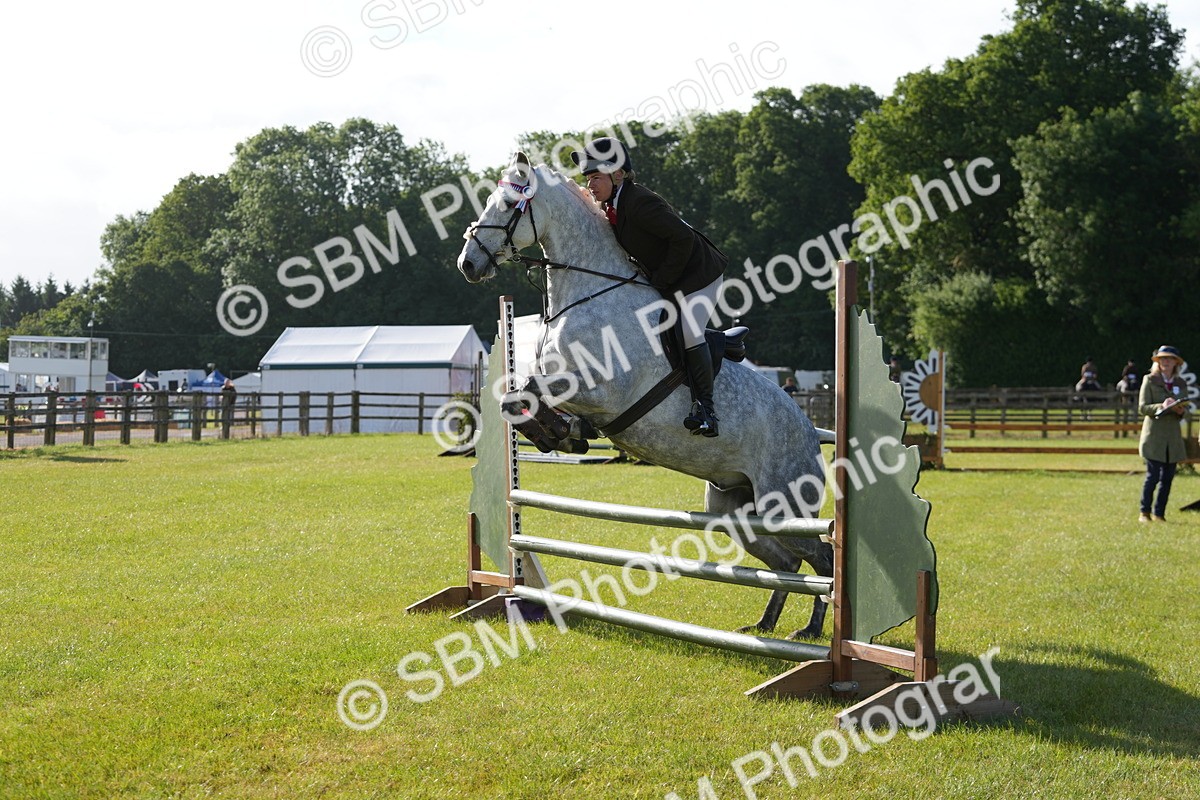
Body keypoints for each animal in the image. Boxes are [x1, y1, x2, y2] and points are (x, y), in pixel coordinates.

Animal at [456, 153, 832, 639]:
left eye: (505, 204)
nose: (467, 264)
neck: (589, 291)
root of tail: (812, 431)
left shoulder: (599, 390)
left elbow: (530, 394)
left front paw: (562, 432)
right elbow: (514, 399)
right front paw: (561, 434)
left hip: (784, 505)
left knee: (822, 559)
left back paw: (812, 632)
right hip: (738, 513)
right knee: (786, 565)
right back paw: (765, 625)